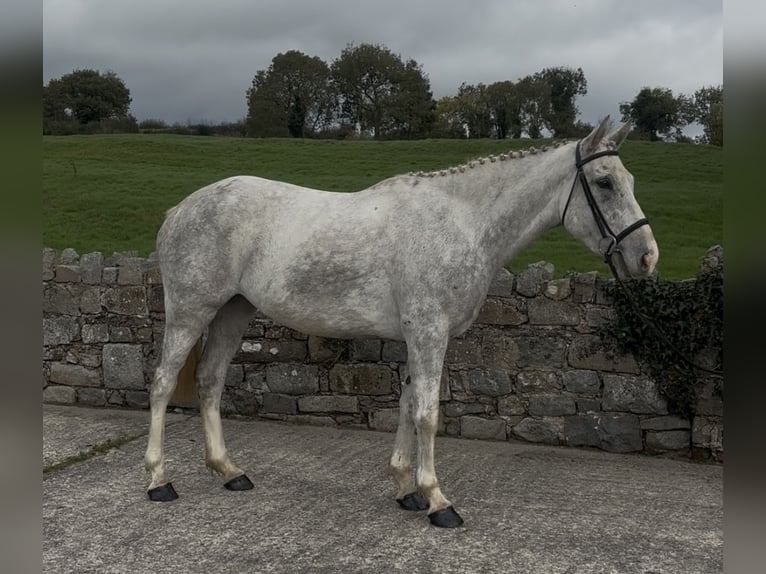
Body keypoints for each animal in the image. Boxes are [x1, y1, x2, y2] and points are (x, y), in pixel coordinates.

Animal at [144, 117, 658, 528]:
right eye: (605, 182)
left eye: (632, 179)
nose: (647, 257)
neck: (462, 224)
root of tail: (181, 210)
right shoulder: (429, 333)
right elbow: (428, 414)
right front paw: (437, 500)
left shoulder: (419, 336)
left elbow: (410, 406)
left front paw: (405, 489)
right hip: (191, 311)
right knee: (164, 383)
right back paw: (158, 481)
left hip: (233, 311)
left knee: (209, 381)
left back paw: (230, 472)